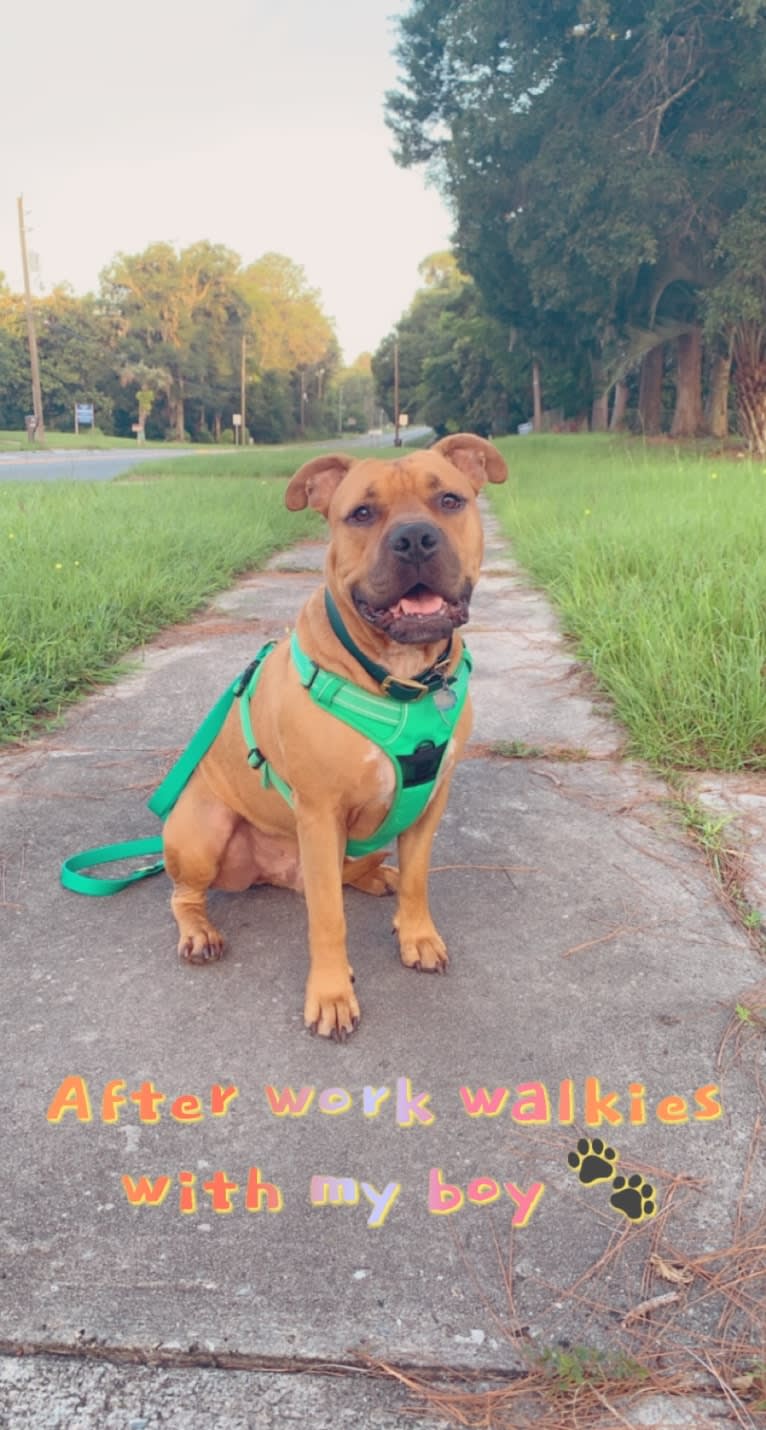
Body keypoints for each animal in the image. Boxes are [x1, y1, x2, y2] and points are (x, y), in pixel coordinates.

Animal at [162, 431, 508, 1041]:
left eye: (449, 500)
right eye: (361, 514)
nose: (414, 539)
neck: (401, 678)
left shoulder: (430, 802)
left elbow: (419, 880)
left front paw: (417, 935)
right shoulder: (321, 814)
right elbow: (328, 918)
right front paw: (330, 993)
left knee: (363, 872)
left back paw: (379, 878)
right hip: (202, 830)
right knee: (186, 894)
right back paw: (198, 932)